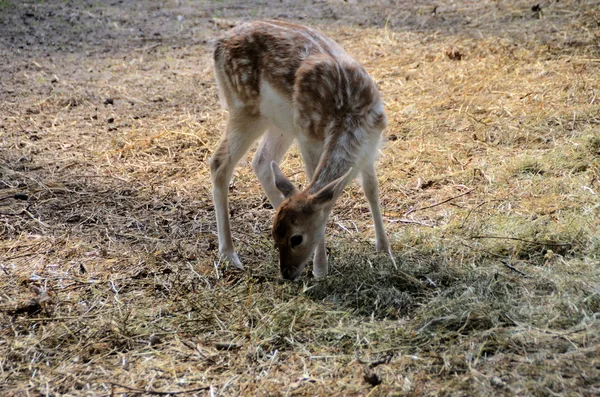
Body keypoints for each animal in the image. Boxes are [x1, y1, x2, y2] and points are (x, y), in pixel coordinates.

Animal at [210, 20, 394, 280]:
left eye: (296, 238)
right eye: (277, 237)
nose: (287, 273)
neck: (348, 114)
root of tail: (218, 45)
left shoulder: (370, 143)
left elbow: (371, 189)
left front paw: (385, 250)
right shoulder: (309, 139)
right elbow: (318, 188)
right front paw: (320, 269)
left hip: (280, 122)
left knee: (261, 160)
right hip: (244, 107)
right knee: (219, 163)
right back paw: (228, 254)